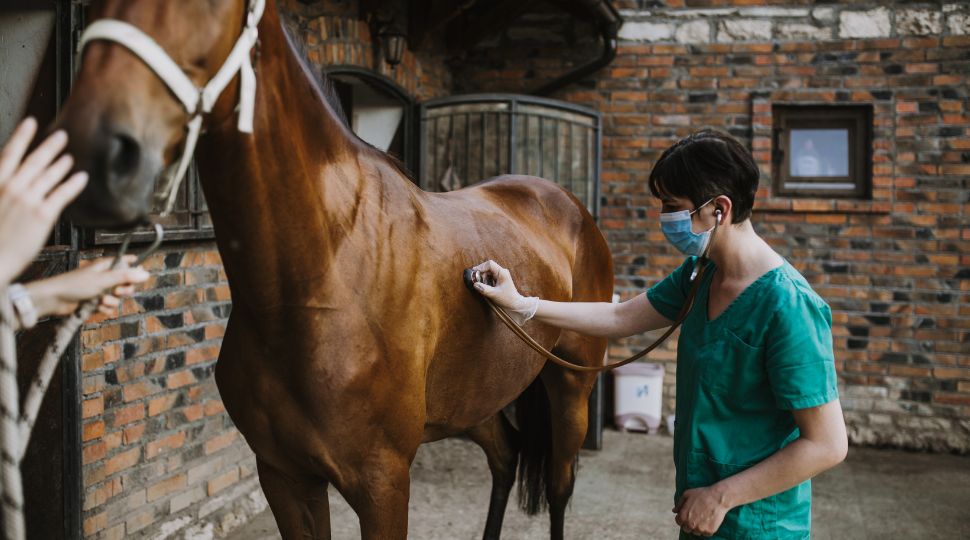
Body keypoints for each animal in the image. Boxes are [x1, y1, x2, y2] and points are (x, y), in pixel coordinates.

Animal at [54, 1, 613, 538]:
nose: (94, 149)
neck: (322, 282)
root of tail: (565, 203)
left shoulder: (384, 483)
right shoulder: (284, 477)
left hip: (571, 386)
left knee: (560, 486)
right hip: (475, 400)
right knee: (505, 457)